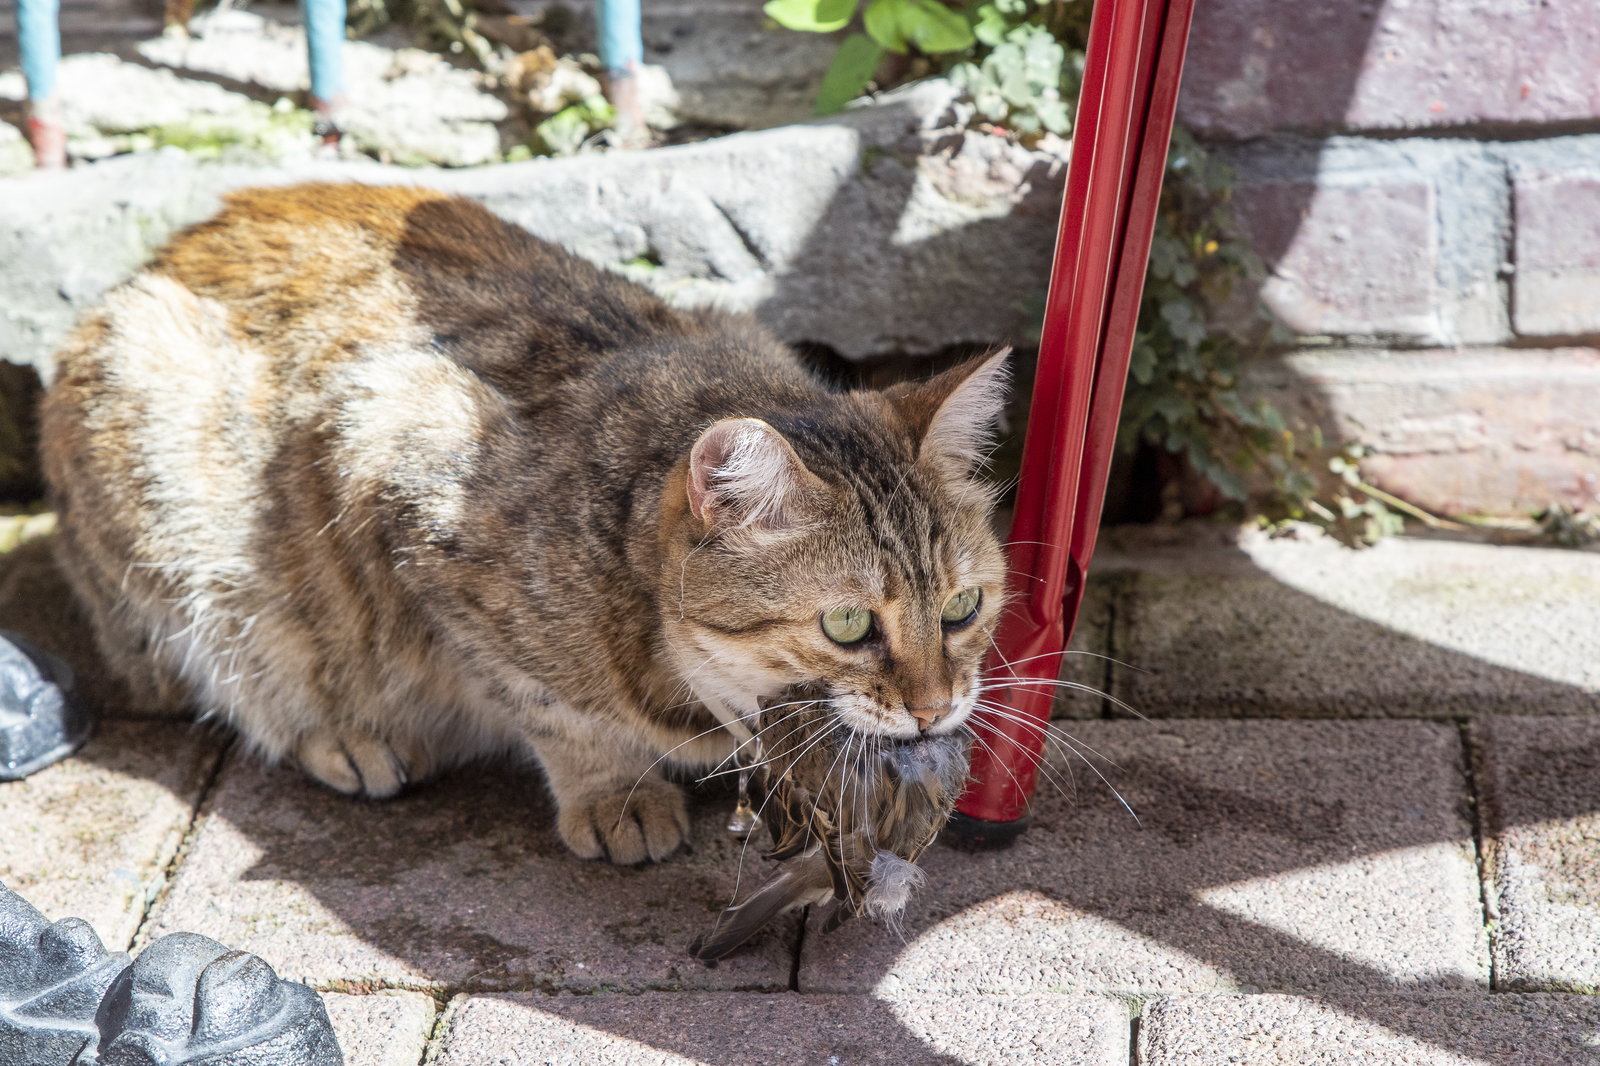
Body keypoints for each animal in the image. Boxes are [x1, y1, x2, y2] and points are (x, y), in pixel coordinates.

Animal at [37, 182, 1004, 864]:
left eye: (964, 609)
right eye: (846, 625)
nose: (936, 708)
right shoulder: (398, 482)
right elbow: (550, 706)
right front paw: (612, 790)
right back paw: (345, 730)